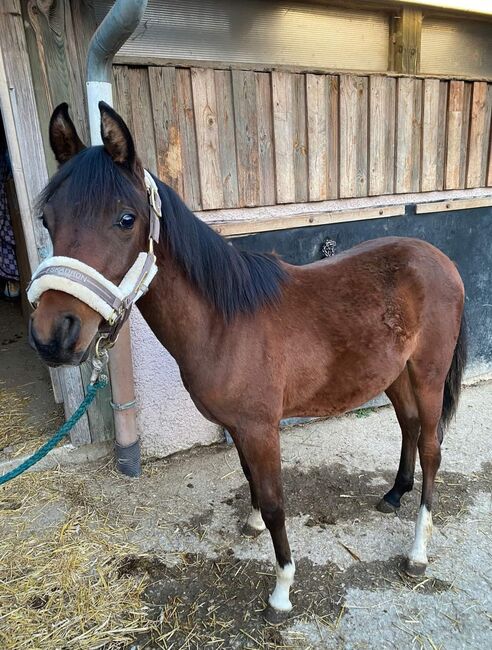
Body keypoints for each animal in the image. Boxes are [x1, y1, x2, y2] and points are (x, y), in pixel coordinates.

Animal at [28, 102, 468, 616]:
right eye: (47, 220)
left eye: (125, 218)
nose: (54, 335)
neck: (226, 321)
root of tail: (441, 260)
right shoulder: (239, 426)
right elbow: (250, 481)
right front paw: (254, 523)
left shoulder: (261, 428)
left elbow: (276, 501)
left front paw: (282, 588)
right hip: (396, 373)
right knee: (409, 427)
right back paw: (395, 493)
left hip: (428, 374)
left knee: (433, 447)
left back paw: (417, 551)